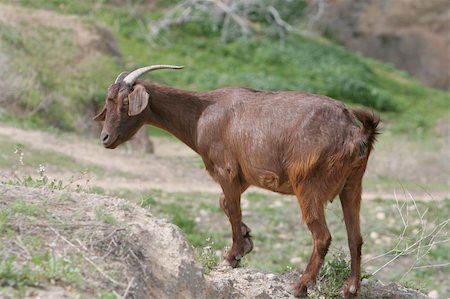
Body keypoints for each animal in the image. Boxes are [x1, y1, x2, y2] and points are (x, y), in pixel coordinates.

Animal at [95, 65, 380, 298]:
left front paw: (233, 256)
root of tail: (355, 132)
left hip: (308, 186)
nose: (105, 138)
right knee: (355, 236)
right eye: (108, 101)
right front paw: (246, 240)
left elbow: (232, 209)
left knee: (322, 237)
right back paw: (351, 289)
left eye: (124, 102)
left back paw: (300, 286)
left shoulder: (226, 170)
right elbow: (224, 203)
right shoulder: (243, 177)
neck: (202, 114)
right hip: (352, 185)